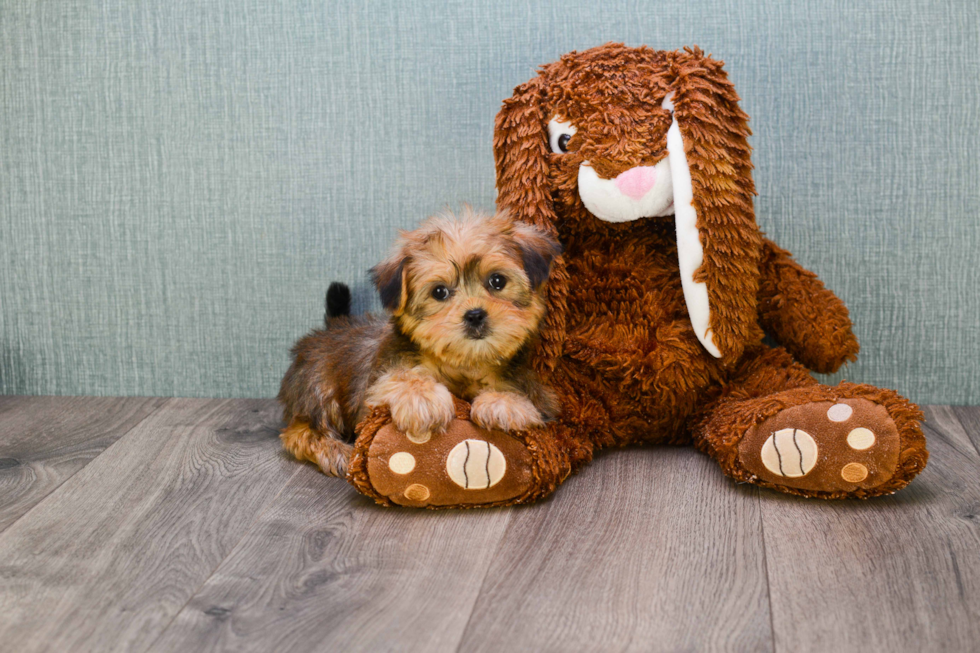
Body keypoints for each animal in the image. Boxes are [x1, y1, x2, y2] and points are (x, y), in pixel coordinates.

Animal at [280, 210, 564, 478]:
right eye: (439, 292)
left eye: (497, 281)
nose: (475, 315)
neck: (463, 362)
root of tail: (332, 326)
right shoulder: (378, 382)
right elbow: (400, 379)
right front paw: (422, 398)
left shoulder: (538, 392)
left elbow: (525, 397)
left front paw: (503, 403)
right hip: (318, 386)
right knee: (300, 431)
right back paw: (335, 451)